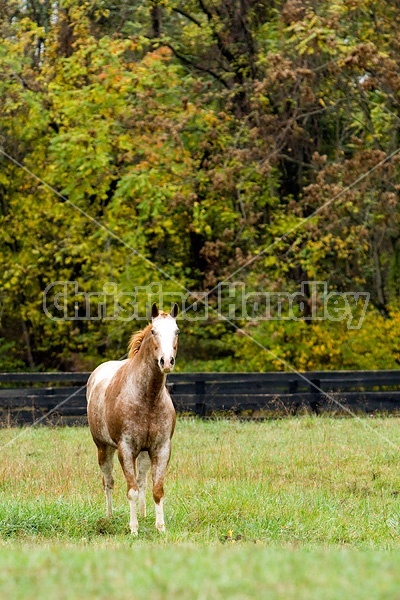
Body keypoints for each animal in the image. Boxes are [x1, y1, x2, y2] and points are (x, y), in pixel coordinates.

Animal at [88, 304, 180, 536]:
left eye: (176, 331)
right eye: (154, 331)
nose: (167, 362)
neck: (147, 398)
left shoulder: (161, 448)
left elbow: (156, 490)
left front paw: (160, 527)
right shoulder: (126, 449)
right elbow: (131, 490)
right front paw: (134, 529)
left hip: (145, 454)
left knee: (142, 482)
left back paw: (144, 514)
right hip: (103, 448)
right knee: (108, 482)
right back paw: (109, 517)